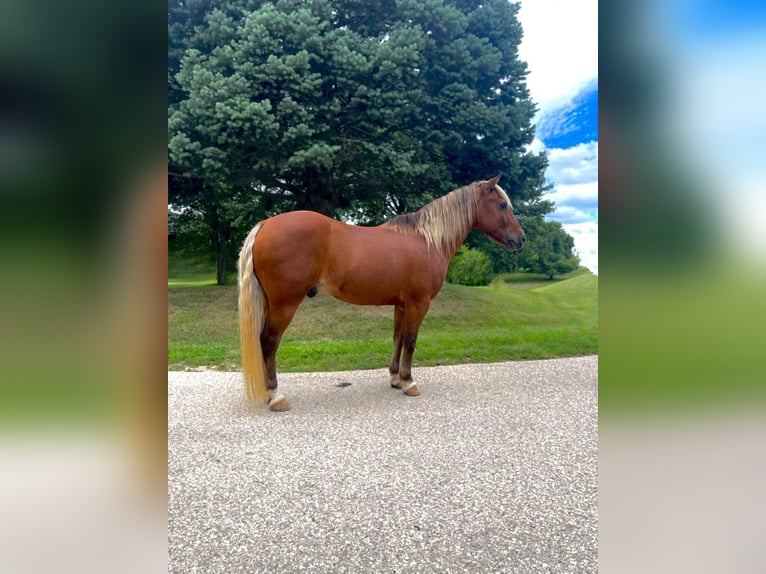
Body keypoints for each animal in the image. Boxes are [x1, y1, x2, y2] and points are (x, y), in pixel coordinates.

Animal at [240, 173, 528, 412]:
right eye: (502, 205)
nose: (521, 239)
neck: (427, 240)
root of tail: (265, 224)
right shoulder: (419, 303)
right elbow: (411, 340)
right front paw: (409, 382)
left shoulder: (401, 305)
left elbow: (397, 338)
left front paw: (395, 378)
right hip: (285, 304)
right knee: (268, 342)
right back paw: (276, 396)